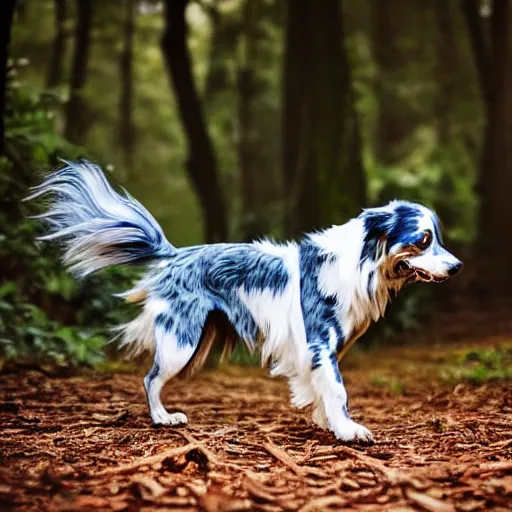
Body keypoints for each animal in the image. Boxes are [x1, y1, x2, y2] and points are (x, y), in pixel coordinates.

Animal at [26, 162, 462, 442]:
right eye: (423, 239)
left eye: (437, 238)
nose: (457, 267)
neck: (360, 264)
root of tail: (176, 254)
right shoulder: (320, 344)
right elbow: (338, 390)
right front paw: (348, 430)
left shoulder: (318, 352)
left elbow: (322, 391)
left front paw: (327, 423)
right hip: (181, 341)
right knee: (151, 379)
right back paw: (162, 418)